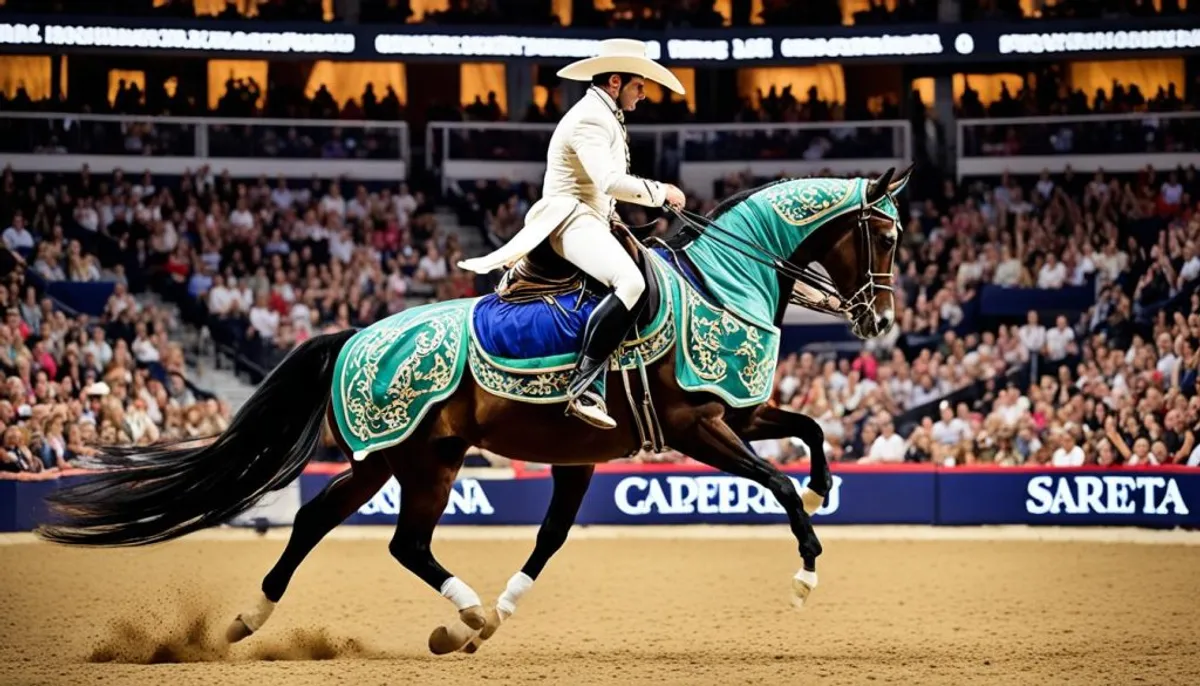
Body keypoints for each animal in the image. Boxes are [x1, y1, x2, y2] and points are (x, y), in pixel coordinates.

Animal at [42, 166, 912, 652]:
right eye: (886, 237)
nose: (878, 320)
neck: (721, 285)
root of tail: (357, 334)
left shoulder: (722, 417)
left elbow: (808, 432)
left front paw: (825, 489)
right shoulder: (700, 426)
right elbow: (775, 480)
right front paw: (805, 570)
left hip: (426, 460)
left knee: (375, 534)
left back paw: (442, 618)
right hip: (393, 454)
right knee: (335, 523)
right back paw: (271, 622)